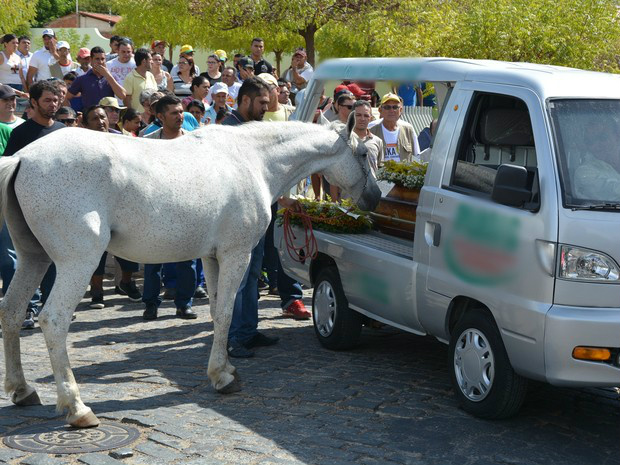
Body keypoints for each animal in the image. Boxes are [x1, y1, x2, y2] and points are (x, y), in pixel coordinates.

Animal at [0, 120, 382, 428]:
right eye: (364, 153)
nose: (375, 197)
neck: (252, 160)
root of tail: (23, 158)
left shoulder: (211, 258)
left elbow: (215, 311)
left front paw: (223, 369)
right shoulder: (235, 255)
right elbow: (227, 313)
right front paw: (223, 378)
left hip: (33, 259)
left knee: (12, 312)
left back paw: (22, 390)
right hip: (77, 263)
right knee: (53, 320)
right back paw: (77, 408)